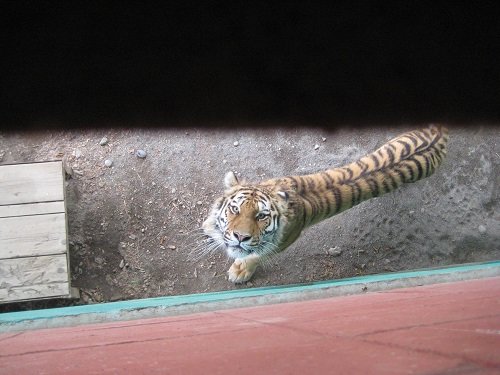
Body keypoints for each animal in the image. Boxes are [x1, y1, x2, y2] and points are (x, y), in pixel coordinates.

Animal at [202, 125, 450, 284]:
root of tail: (437, 133)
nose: (240, 237)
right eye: (235, 209)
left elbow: (255, 255)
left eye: (261, 216)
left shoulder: (282, 242)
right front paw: (209, 226)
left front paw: (240, 270)